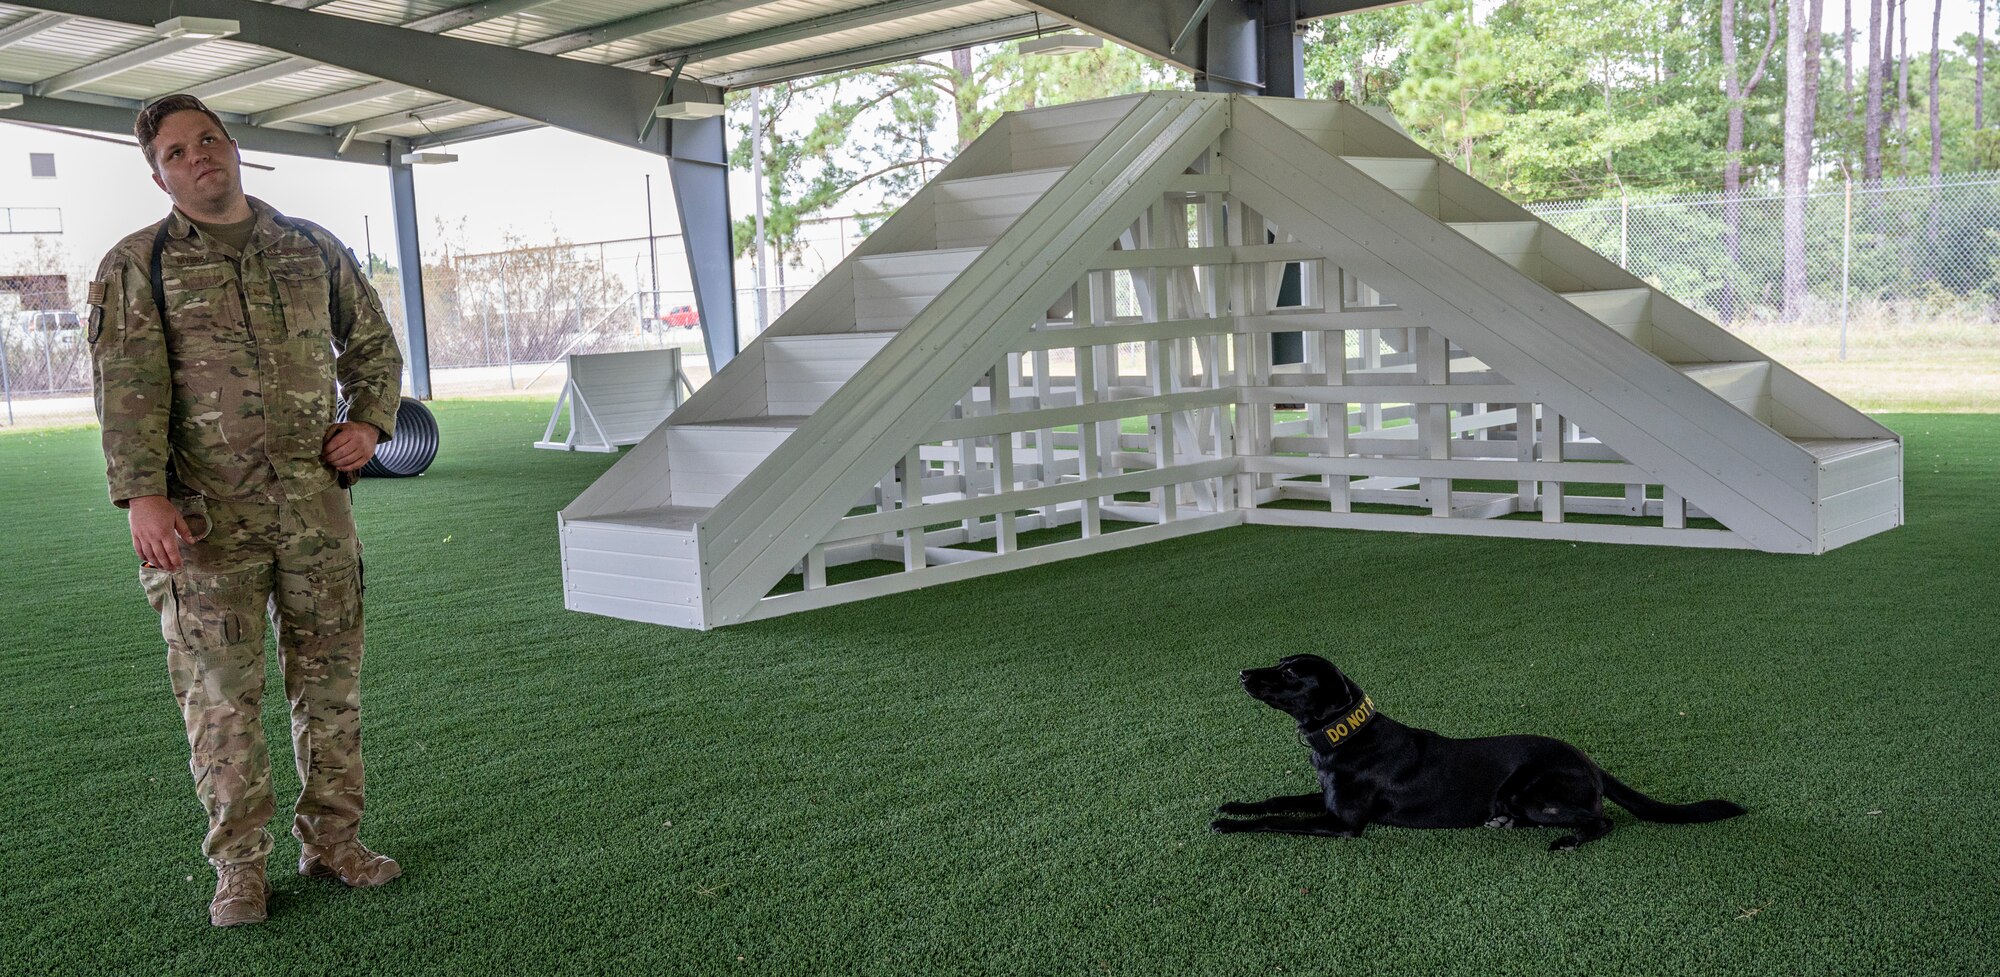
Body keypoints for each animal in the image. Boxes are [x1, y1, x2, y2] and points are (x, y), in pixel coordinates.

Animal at [1208, 660, 1744, 852]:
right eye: (1279, 664)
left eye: (1290, 673)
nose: (1241, 673)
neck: (1346, 735)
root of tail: (1590, 761)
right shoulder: (1325, 798)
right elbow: (1275, 802)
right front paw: (1234, 805)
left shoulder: (1341, 823)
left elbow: (1277, 820)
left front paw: (1228, 824)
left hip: (1532, 794)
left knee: (1601, 818)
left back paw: (1569, 841)